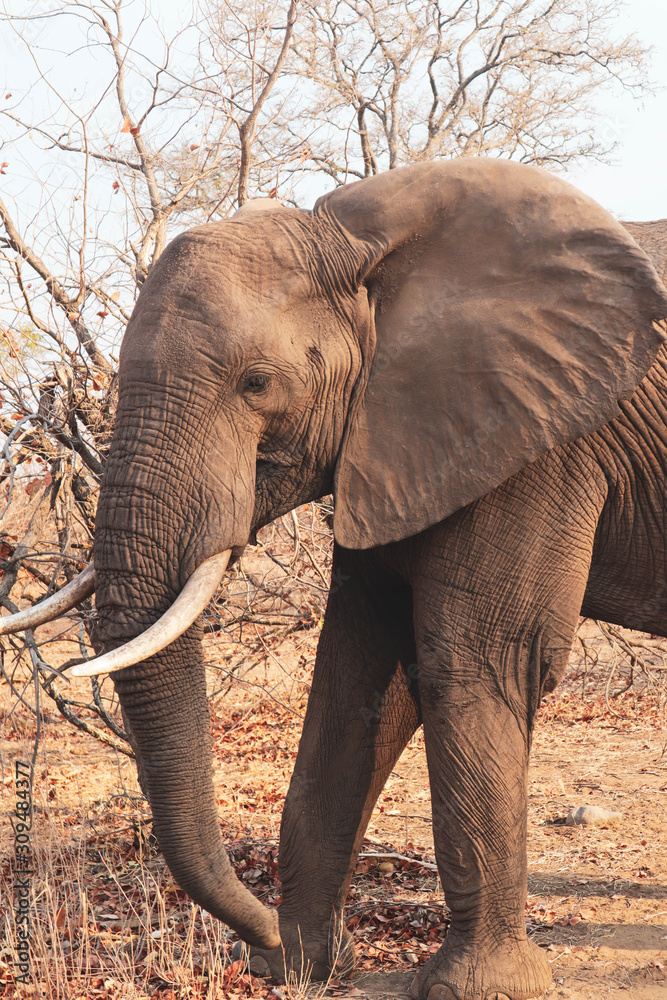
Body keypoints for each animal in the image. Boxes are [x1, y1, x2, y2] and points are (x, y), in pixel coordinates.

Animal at [3, 157, 667, 1000]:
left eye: (256, 384)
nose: (258, 936)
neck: (358, 248)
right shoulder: (394, 440)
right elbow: (356, 675)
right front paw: (304, 967)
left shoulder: (537, 440)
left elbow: (475, 662)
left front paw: (475, 988)